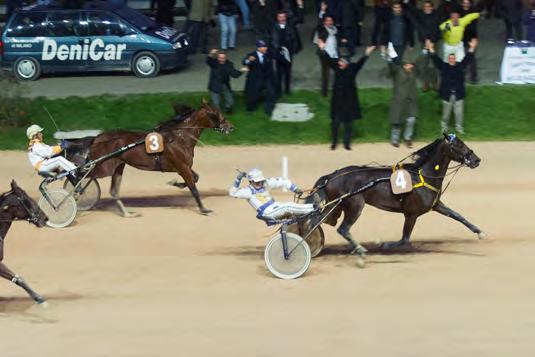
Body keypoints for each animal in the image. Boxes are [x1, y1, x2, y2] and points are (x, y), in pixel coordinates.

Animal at [77, 98, 232, 216]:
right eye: (215, 114)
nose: (230, 127)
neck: (179, 137)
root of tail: (97, 138)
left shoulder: (183, 166)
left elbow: (195, 178)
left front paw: (175, 183)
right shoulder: (182, 167)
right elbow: (194, 188)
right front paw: (204, 209)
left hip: (118, 166)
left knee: (114, 191)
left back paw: (127, 213)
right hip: (102, 167)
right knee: (81, 177)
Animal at [308, 133, 484, 253]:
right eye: (459, 145)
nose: (476, 160)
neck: (423, 175)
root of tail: (332, 176)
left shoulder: (436, 205)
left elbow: (457, 215)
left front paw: (480, 232)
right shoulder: (411, 214)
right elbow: (404, 240)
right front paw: (382, 244)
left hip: (337, 206)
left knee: (318, 221)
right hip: (354, 206)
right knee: (341, 229)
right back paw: (359, 249)